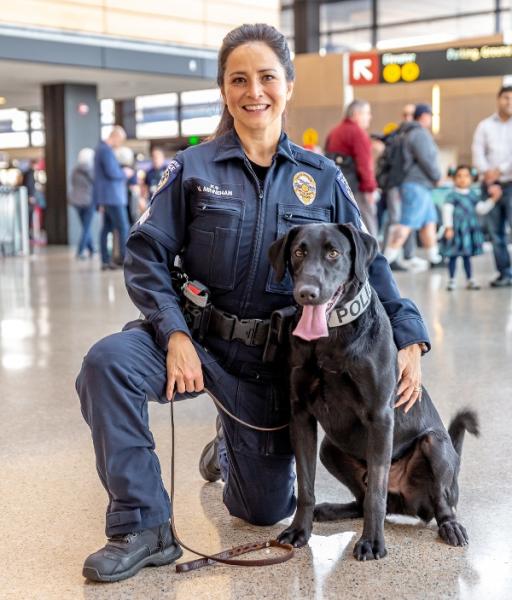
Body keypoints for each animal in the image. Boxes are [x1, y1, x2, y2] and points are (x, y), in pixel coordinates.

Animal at [270, 223, 478, 560]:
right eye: (298, 252)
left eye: (333, 252)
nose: (306, 293)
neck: (331, 337)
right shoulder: (300, 415)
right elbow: (305, 486)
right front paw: (299, 530)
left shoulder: (380, 418)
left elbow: (376, 495)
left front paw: (372, 542)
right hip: (329, 447)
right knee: (359, 499)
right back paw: (331, 510)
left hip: (435, 445)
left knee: (440, 502)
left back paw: (450, 526)